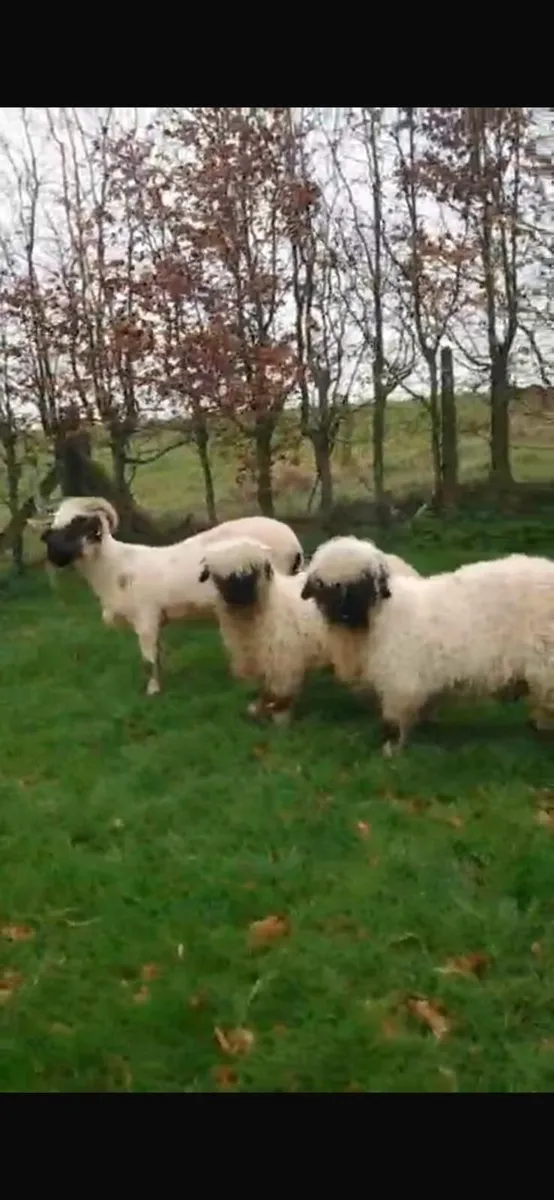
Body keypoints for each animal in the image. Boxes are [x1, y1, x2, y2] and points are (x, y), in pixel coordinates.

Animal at [39, 496, 304, 697]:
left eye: (79, 524)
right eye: (54, 528)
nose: (54, 556)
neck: (114, 567)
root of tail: (294, 542)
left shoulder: (145, 617)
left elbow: (148, 660)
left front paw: (153, 691)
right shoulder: (156, 619)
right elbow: (158, 654)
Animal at [198, 536, 329, 724]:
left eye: (253, 571)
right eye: (218, 577)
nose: (238, 597)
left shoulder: (282, 659)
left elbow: (280, 693)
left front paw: (280, 720)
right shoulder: (258, 656)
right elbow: (264, 689)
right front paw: (259, 710)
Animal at [300, 535, 554, 755]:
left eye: (366, 582)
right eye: (323, 586)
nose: (345, 614)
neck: (380, 618)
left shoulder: (400, 681)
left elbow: (394, 722)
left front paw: (390, 751)